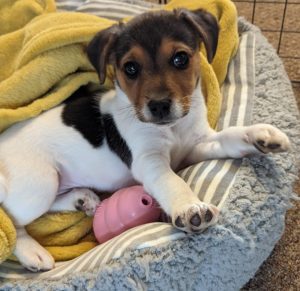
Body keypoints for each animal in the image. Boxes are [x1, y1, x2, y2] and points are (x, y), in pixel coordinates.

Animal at [0, 9, 290, 274]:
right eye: (130, 68)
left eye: (180, 58)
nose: (159, 105)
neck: (173, 129)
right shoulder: (149, 161)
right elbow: (172, 181)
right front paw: (189, 208)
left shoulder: (198, 144)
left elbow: (230, 135)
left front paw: (260, 135)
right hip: (41, 182)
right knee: (13, 220)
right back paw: (32, 252)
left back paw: (80, 199)